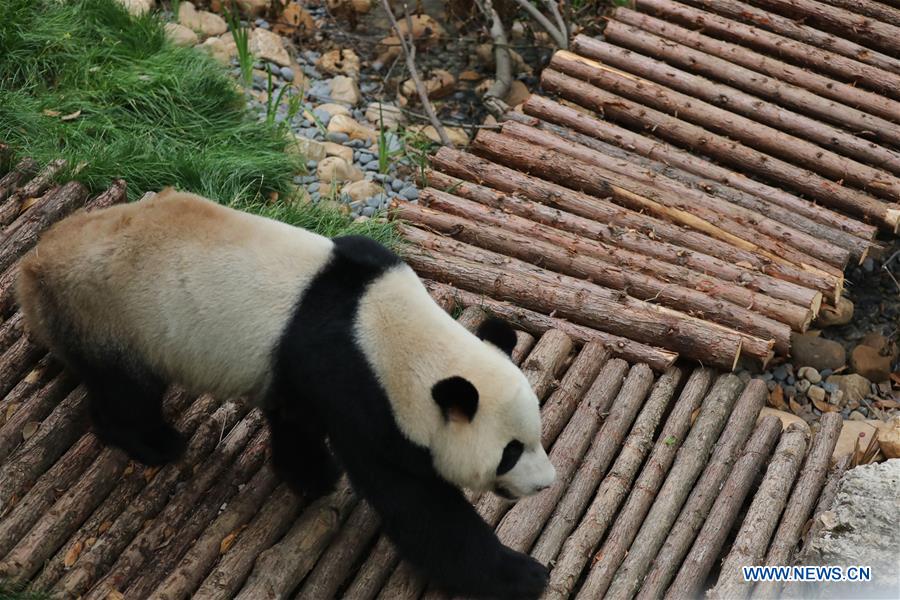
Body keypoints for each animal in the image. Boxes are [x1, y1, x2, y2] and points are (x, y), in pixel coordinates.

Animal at [16, 188, 556, 599]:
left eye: (537, 436)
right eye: (511, 452)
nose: (546, 484)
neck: (392, 330)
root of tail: (33, 268)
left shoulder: (306, 370)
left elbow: (294, 420)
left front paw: (311, 474)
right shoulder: (359, 389)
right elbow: (419, 507)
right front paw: (524, 574)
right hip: (110, 313)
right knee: (126, 391)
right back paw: (155, 442)